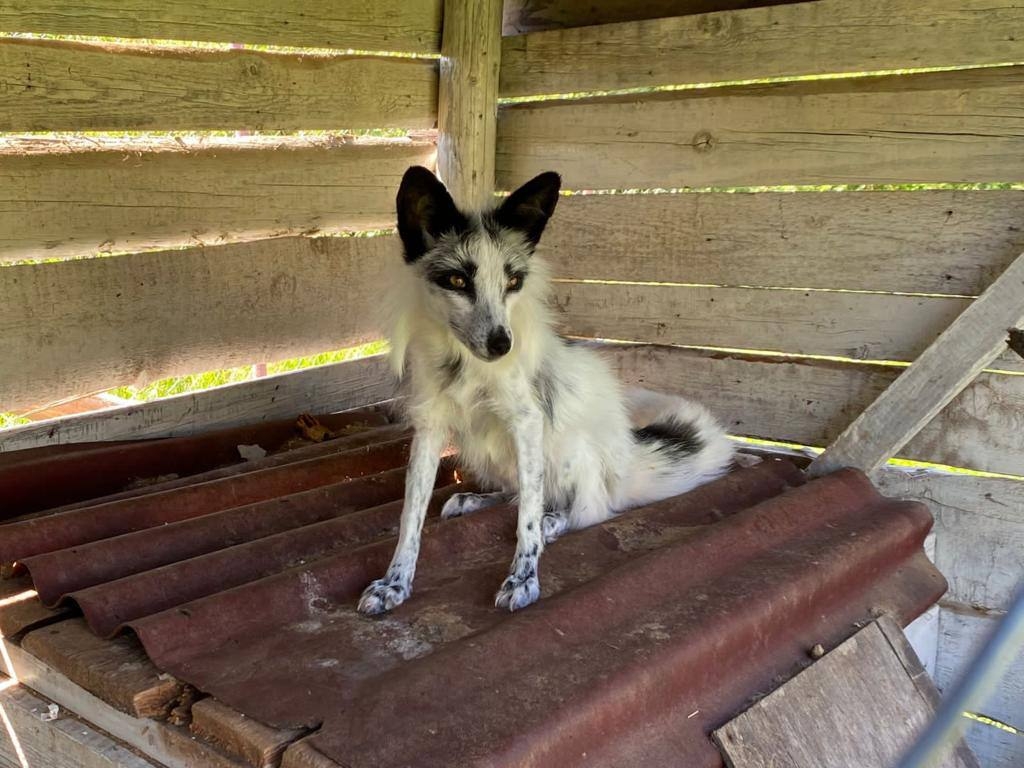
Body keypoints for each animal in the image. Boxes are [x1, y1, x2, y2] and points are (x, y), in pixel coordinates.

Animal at [356, 166, 733, 614]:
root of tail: (626, 460)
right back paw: (476, 500)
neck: (466, 371)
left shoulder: (527, 422)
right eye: (457, 279)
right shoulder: (430, 427)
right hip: (483, 452)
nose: (503, 344)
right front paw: (394, 582)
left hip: (566, 450)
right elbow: (410, 517)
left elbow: (528, 522)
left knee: (588, 509)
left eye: (514, 281)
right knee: (517, 492)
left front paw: (524, 577)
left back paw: (556, 521)